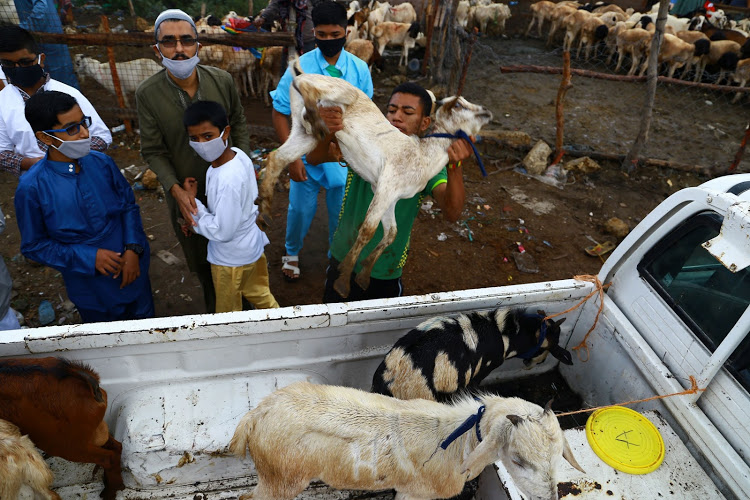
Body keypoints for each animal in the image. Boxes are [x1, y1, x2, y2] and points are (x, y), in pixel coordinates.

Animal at [229, 380, 588, 498]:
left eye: (557, 456)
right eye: (517, 459)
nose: (550, 497)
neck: (460, 444)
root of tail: (255, 415)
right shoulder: (414, 494)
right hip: (281, 479)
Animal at [258, 62, 494, 296]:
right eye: (459, 105)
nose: (487, 111)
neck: (422, 156)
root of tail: (302, 74)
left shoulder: (391, 195)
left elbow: (391, 233)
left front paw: (363, 275)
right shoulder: (386, 185)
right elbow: (369, 229)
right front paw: (344, 279)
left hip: (303, 133)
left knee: (276, 158)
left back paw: (264, 214)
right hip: (340, 91)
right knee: (307, 86)